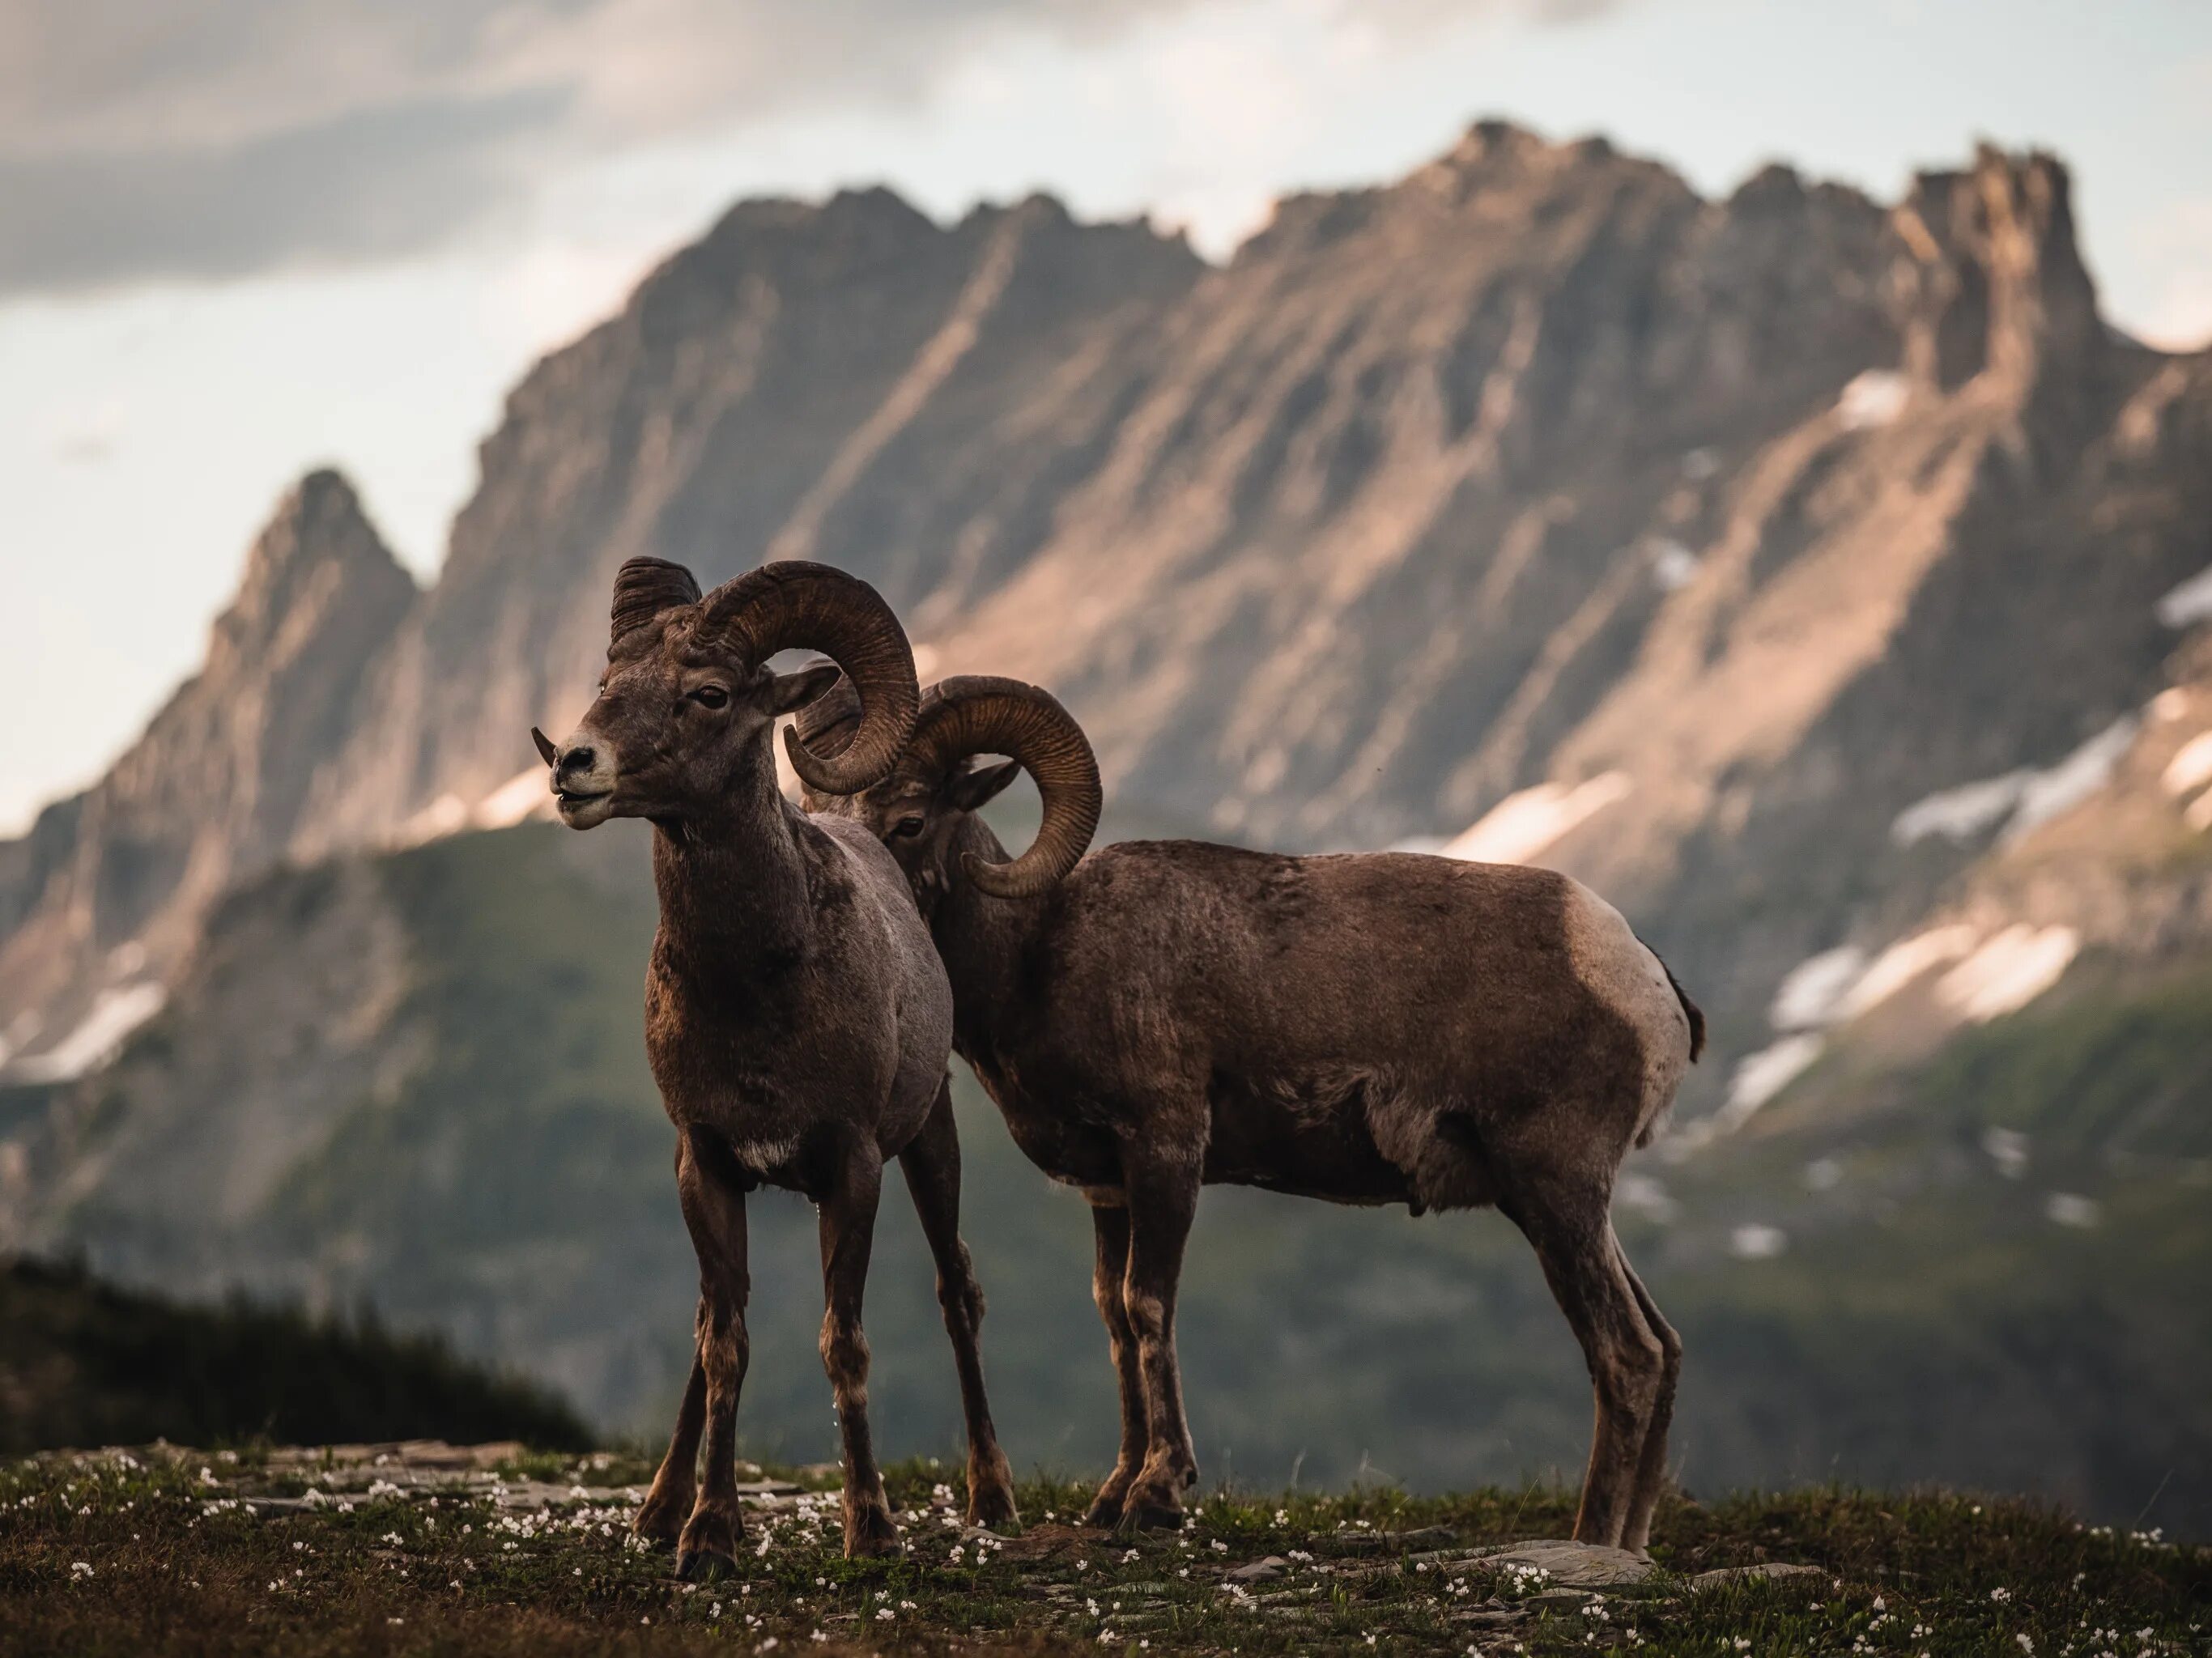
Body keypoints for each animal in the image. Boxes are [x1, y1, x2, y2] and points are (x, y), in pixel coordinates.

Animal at [535, 570, 1017, 1574]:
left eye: (710, 693)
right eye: (609, 679)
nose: (573, 764)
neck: (753, 985)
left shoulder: (853, 1166)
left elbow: (844, 1342)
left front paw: (868, 1526)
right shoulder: (708, 1162)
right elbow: (724, 1344)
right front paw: (705, 1534)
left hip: (932, 1145)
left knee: (956, 1292)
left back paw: (992, 1497)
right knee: (710, 1325)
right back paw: (655, 1508)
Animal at [805, 676, 1699, 1556]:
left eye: (909, 820)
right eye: (819, 810)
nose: (862, 895)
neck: (1038, 951)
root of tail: (1643, 977)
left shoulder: (1165, 1149)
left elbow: (1148, 1304)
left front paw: (1158, 1495)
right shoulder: (1109, 1188)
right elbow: (1115, 1319)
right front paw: (1113, 1496)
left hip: (1555, 1192)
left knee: (1625, 1354)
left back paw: (1592, 1540)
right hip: (1560, 1205)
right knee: (1662, 1344)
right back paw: (1628, 1543)